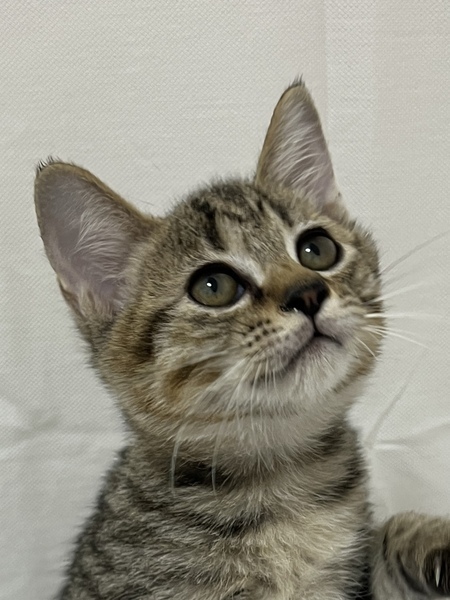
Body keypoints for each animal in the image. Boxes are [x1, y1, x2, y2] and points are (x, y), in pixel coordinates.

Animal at [34, 81, 450, 600]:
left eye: (317, 249)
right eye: (213, 287)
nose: (307, 292)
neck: (283, 479)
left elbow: (387, 536)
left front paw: (430, 538)